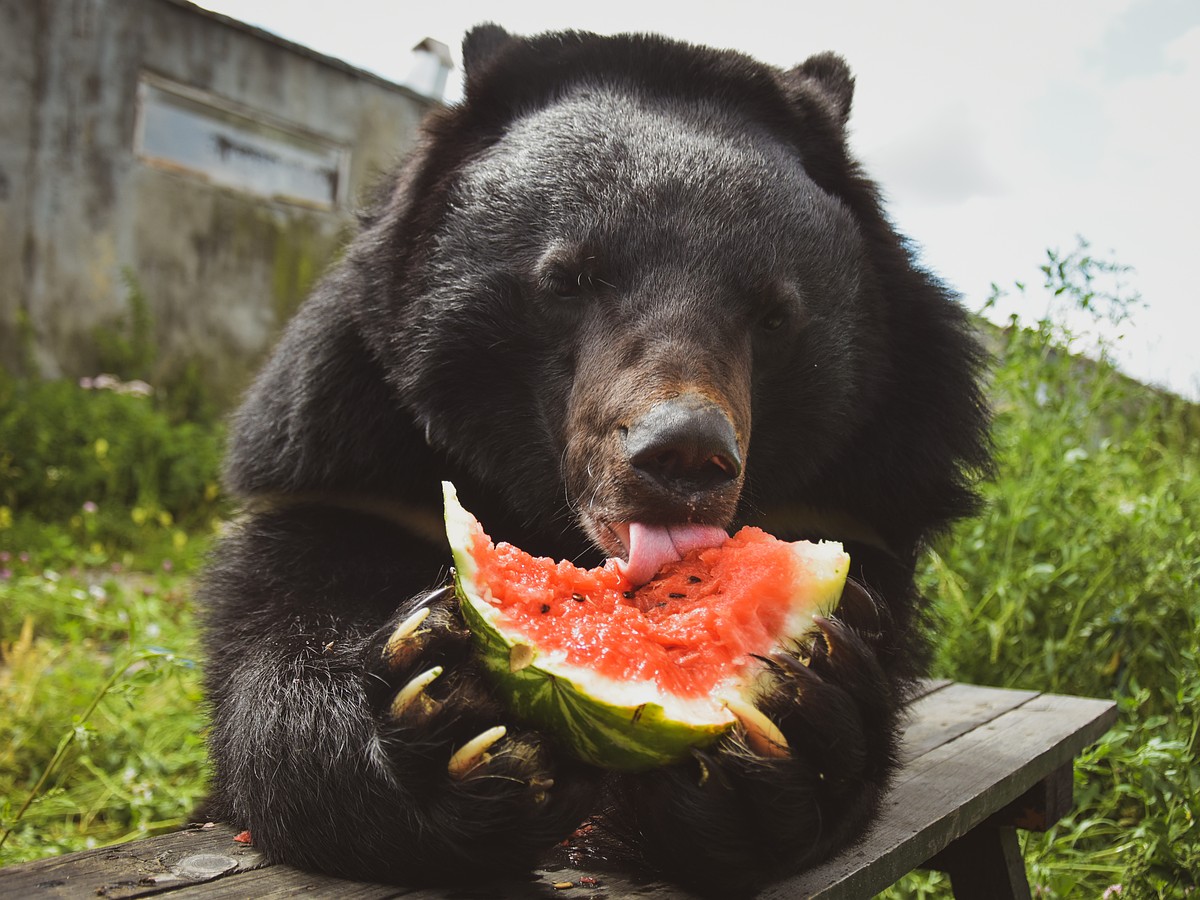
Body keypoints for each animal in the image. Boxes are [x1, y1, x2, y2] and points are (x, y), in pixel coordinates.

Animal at [199, 21, 993, 897]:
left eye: (777, 313)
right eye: (568, 278)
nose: (684, 455)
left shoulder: (860, 490)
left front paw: (793, 729)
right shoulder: (350, 457)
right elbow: (286, 630)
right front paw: (443, 719)